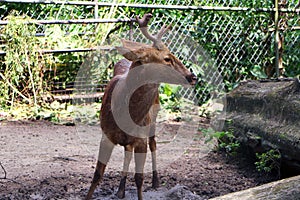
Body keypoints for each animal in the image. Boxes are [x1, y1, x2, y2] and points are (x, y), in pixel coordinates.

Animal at [85, 13, 197, 199]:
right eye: (167, 58)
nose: (192, 76)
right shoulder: (106, 135)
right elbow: (97, 175)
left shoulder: (140, 139)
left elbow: (139, 178)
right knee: (127, 152)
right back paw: (120, 190)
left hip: (153, 119)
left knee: (153, 145)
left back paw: (156, 181)